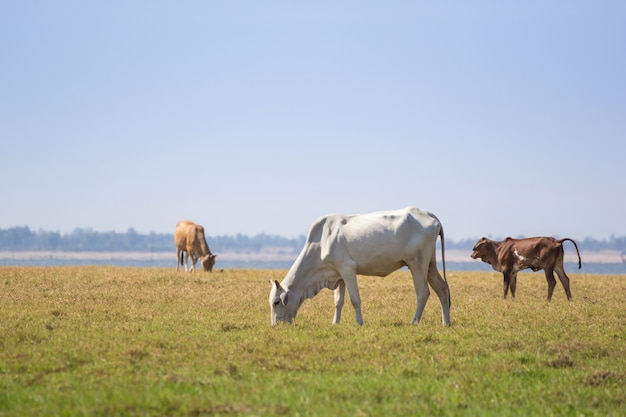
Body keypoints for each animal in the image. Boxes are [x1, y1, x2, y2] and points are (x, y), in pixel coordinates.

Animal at [268, 206, 448, 326]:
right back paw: (446, 323)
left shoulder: (348, 269)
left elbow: (355, 299)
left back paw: (414, 322)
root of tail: (429, 214)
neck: (320, 243)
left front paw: (360, 323)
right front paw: (335, 323)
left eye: (276, 302)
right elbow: (338, 301)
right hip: (430, 265)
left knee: (423, 293)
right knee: (442, 289)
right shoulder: (338, 274)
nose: (275, 325)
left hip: (417, 264)